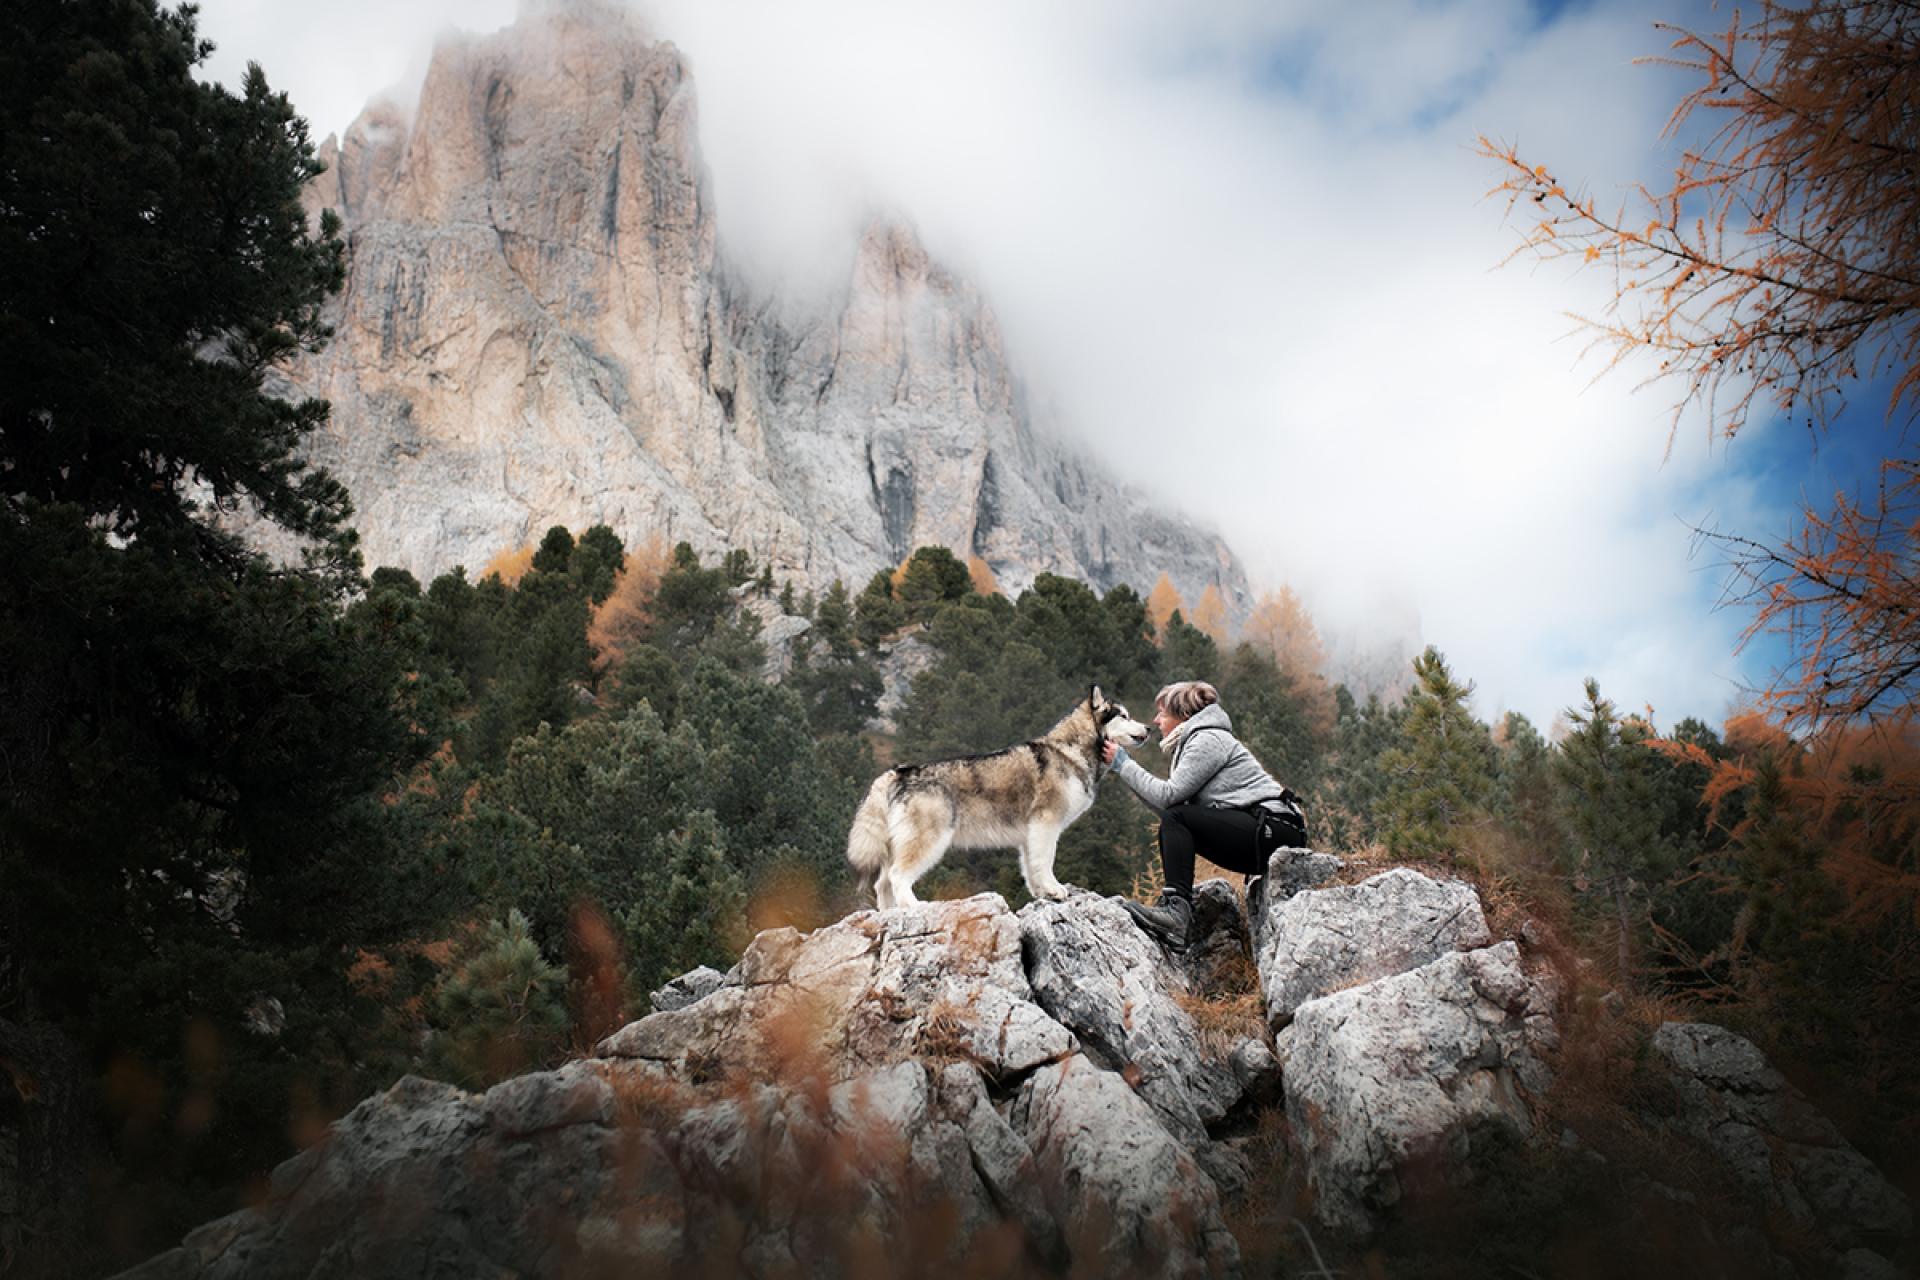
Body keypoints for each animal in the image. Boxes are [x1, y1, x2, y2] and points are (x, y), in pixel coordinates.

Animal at [848, 687, 1144, 905]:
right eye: (1124, 716)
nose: (1149, 729)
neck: (1071, 750)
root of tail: (899, 772)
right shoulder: (1046, 824)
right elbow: (1046, 861)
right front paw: (1055, 888)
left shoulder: (1030, 833)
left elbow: (1031, 866)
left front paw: (1041, 893)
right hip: (927, 839)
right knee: (897, 876)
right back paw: (913, 908)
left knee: (882, 883)